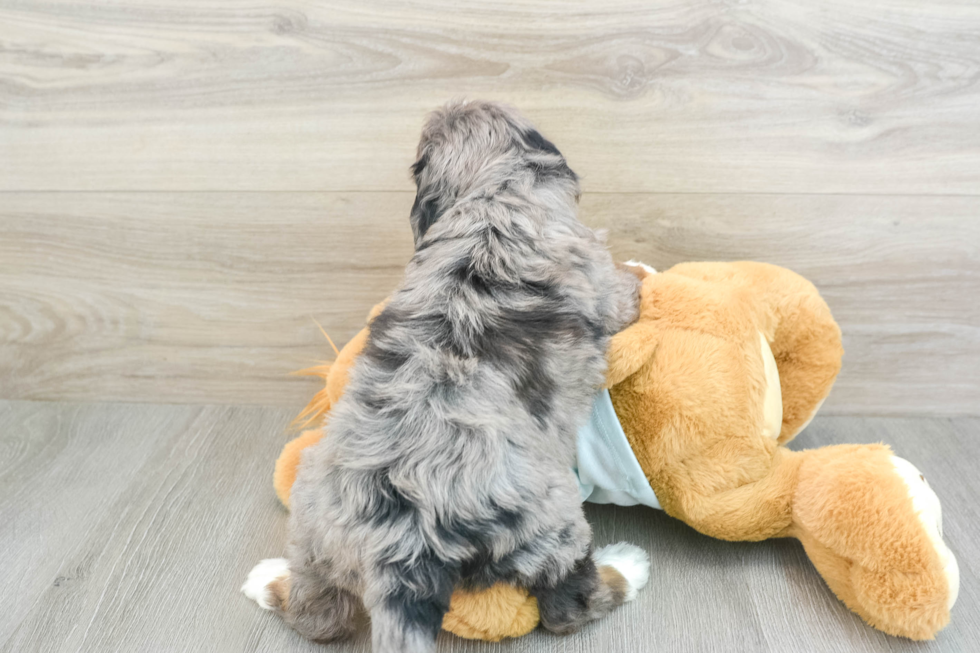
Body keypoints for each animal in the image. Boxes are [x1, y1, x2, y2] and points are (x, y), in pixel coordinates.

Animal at [241, 99, 648, 648]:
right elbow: (625, 290)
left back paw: (268, 580)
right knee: (569, 605)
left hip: (315, 520)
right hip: (551, 522)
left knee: (318, 613)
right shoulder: (602, 281)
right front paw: (639, 271)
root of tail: (401, 544)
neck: (493, 194)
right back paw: (626, 567)